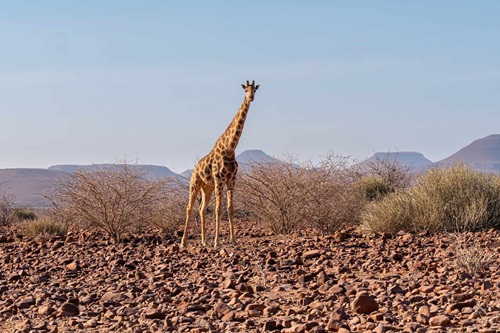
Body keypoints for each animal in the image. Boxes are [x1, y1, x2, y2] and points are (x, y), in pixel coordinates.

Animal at [181, 80, 260, 246]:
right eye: (245, 90)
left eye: (255, 90)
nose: (251, 97)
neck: (230, 148)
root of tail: (195, 169)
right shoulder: (219, 179)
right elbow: (218, 209)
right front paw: (217, 241)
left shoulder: (231, 179)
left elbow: (230, 208)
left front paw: (234, 240)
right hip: (195, 184)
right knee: (189, 208)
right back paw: (183, 242)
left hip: (207, 187)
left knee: (202, 209)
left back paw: (204, 241)